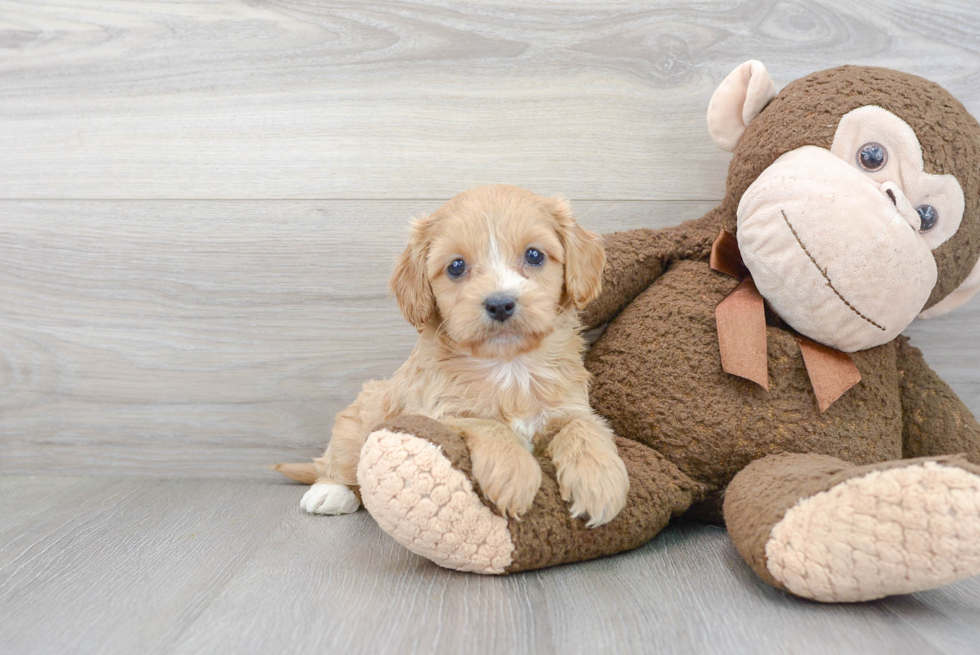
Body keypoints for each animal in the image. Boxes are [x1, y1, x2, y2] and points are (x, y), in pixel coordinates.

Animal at [298, 183, 632, 528]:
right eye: (456, 266)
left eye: (534, 255)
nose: (500, 304)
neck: (510, 366)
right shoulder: (435, 414)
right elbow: (487, 424)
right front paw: (514, 474)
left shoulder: (569, 406)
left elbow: (585, 426)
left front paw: (599, 480)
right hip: (357, 422)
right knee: (338, 462)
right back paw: (329, 492)